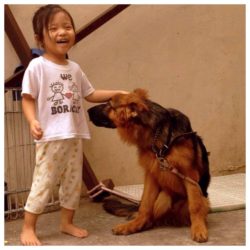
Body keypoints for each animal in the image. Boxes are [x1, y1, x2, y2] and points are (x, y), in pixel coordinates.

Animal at [87, 88, 210, 242]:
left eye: (109, 104)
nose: (87, 111)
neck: (159, 134)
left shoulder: (189, 175)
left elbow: (195, 206)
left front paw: (198, 228)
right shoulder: (151, 174)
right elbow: (145, 205)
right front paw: (135, 224)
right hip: (163, 197)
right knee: (148, 214)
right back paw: (135, 224)